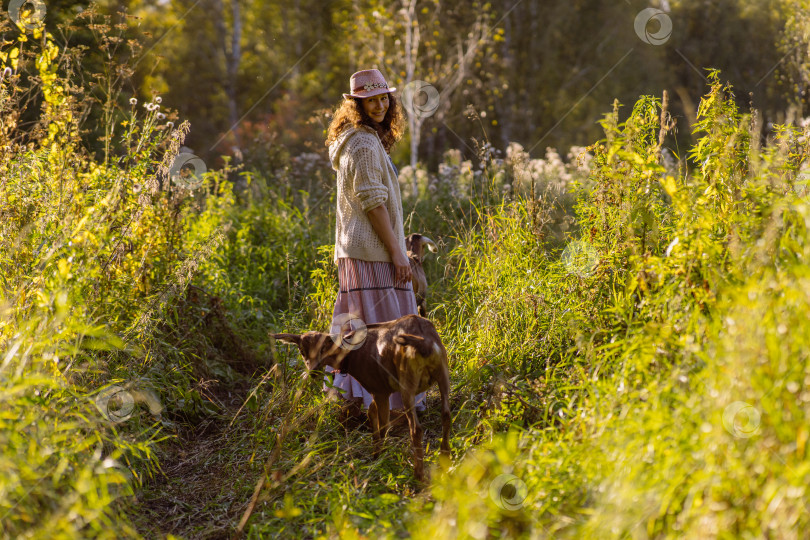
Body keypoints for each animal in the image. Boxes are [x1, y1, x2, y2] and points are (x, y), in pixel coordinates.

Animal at [272, 312, 448, 480]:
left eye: (323, 349)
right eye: (302, 351)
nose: (313, 372)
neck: (351, 356)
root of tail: (425, 343)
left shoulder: (379, 389)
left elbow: (384, 425)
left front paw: (378, 458)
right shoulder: (379, 389)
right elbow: (372, 412)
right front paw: (376, 451)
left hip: (407, 383)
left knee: (416, 428)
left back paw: (419, 475)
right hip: (443, 373)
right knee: (446, 416)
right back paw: (445, 461)